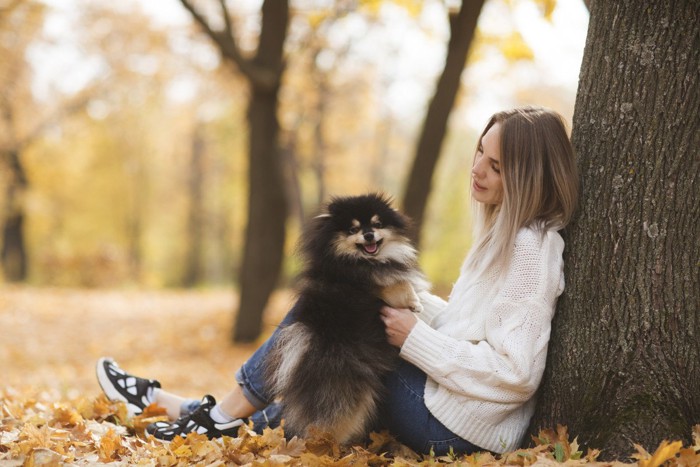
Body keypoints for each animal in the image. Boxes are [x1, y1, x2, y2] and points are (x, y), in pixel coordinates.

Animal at [262, 194, 426, 446]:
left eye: (377, 224)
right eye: (353, 229)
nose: (368, 235)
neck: (358, 260)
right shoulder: (366, 283)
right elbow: (398, 284)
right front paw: (414, 302)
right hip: (347, 390)